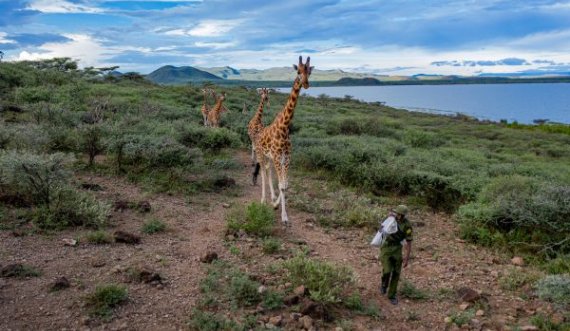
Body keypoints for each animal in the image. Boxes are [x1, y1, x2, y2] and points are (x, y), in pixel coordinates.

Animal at [253, 57, 312, 226]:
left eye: (309, 71)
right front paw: (284, 217)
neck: (284, 127)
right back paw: (262, 200)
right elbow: (281, 185)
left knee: (267, 170)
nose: (306, 83)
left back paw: (271, 198)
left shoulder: (286, 158)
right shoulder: (278, 158)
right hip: (261, 154)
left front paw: (276, 204)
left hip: (269, 157)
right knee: (263, 174)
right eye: (298, 71)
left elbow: (285, 185)